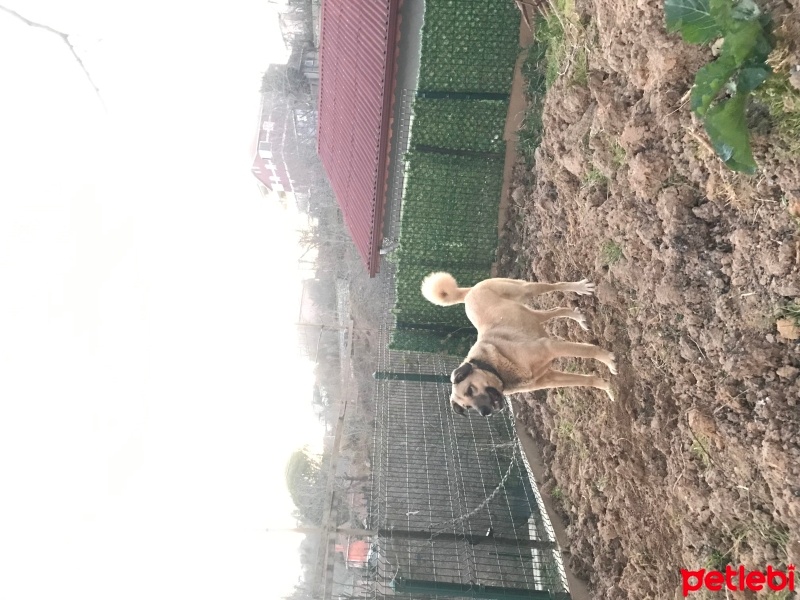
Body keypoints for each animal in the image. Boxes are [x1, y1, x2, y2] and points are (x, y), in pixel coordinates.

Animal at [418, 274, 620, 418]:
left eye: (470, 389)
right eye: (467, 407)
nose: (484, 413)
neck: (493, 366)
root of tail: (468, 293)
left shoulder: (550, 347)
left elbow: (590, 350)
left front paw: (608, 361)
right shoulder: (548, 378)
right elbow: (588, 380)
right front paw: (608, 388)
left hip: (524, 290)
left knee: (555, 286)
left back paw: (579, 287)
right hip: (529, 315)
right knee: (555, 310)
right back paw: (577, 316)